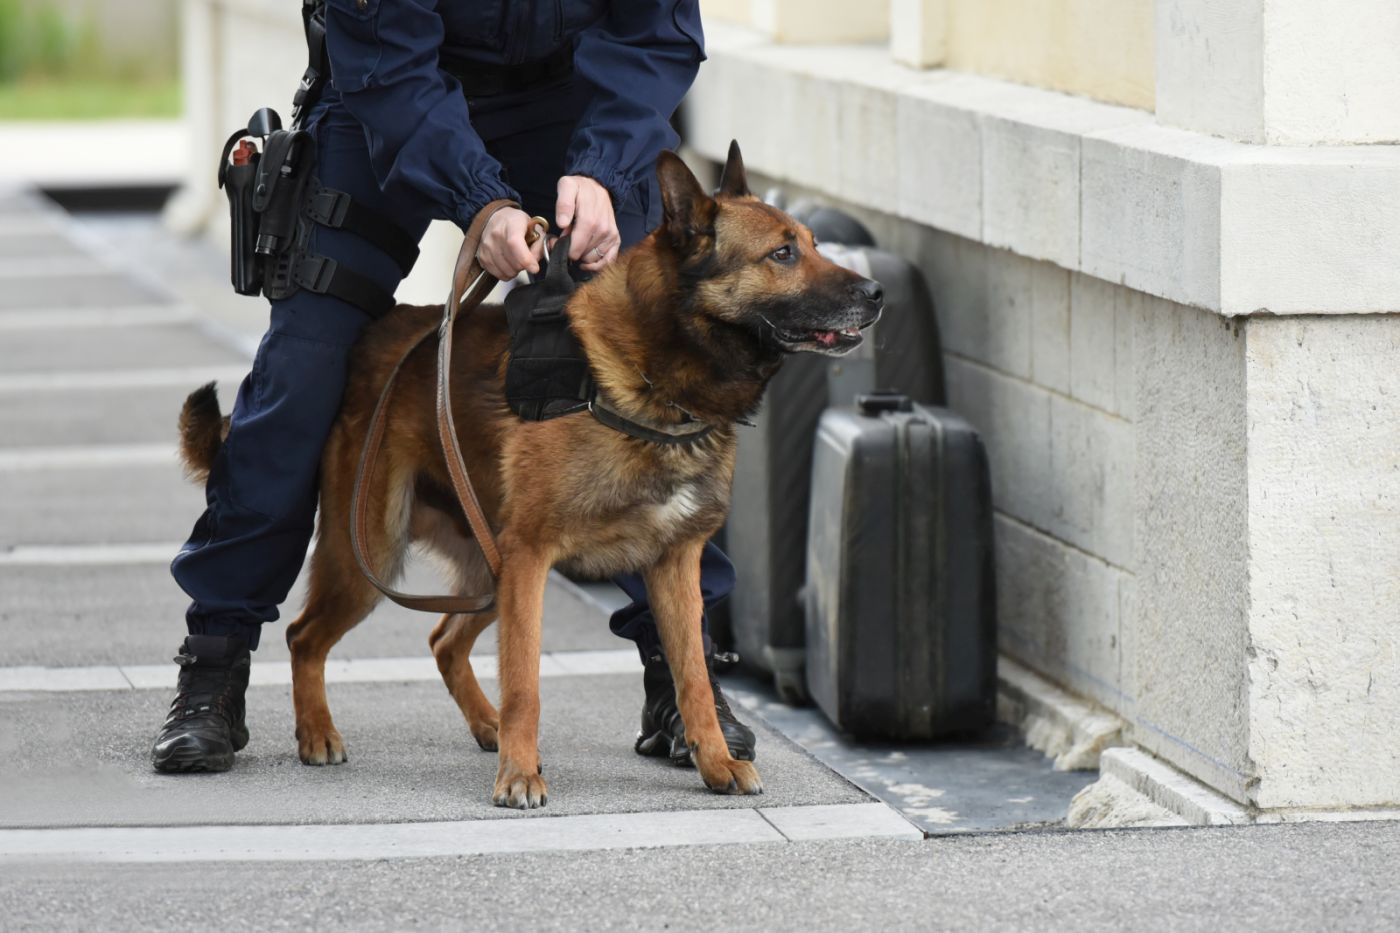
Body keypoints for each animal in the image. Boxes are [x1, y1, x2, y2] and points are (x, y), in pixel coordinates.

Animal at [175, 141, 873, 801]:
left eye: (814, 244)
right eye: (782, 254)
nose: (877, 294)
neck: (648, 380)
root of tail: (379, 338)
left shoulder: (673, 567)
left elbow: (694, 677)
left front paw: (716, 761)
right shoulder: (532, 557)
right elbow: (526, 682)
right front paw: (519, 775)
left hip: (488, 569)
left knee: (443, 640)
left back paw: (484, 725)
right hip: (376, 557)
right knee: (304, 635)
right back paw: (318, 731)